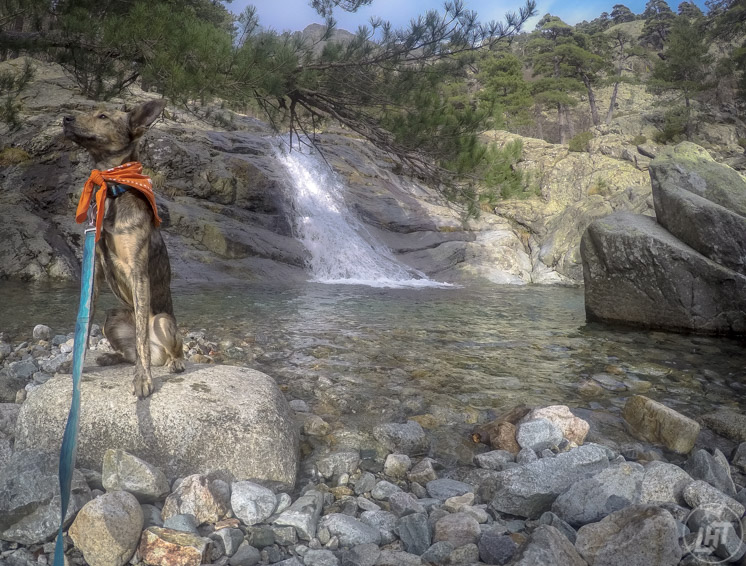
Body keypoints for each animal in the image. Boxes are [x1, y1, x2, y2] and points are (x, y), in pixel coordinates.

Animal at [64, 98, 185, 400]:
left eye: (103, 116)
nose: (65, 119)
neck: (112, 189)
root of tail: (159, 354)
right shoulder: (94, 273)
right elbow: (84, 327)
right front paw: (75, 367)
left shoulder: (138, 272)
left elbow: (141, 339)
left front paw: (143, 379)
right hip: (113, 316)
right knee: (129, 353)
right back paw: (111, 357)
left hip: (163, 321)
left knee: (160, 347)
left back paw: (175, 361)